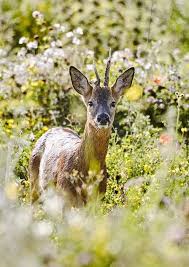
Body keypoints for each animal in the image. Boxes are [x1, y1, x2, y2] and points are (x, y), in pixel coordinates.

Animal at [29, 52, 134, 207]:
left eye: (113, 103)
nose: (103, 118)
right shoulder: (66, 195)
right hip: (33, 180)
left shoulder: (97, 200)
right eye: (90, 102)